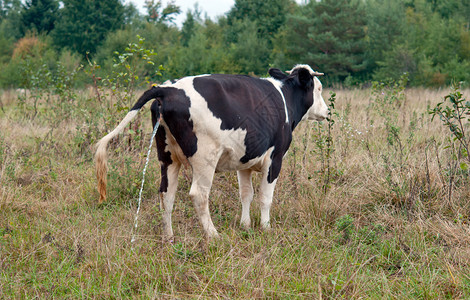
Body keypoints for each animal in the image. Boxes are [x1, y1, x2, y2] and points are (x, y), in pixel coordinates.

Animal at [95, 63, 326, 239]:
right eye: (319, 88)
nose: (327, 110)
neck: (284, 99)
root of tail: (168, 88)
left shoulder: (245, 161)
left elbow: (246, 194)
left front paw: (245, 225)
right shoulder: (274, 159)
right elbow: (265, 196)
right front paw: (265, 227)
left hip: (167, 156)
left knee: (166, 194)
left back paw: (168, 236)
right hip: (204, 157)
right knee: (199, 194)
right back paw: (213, 234)